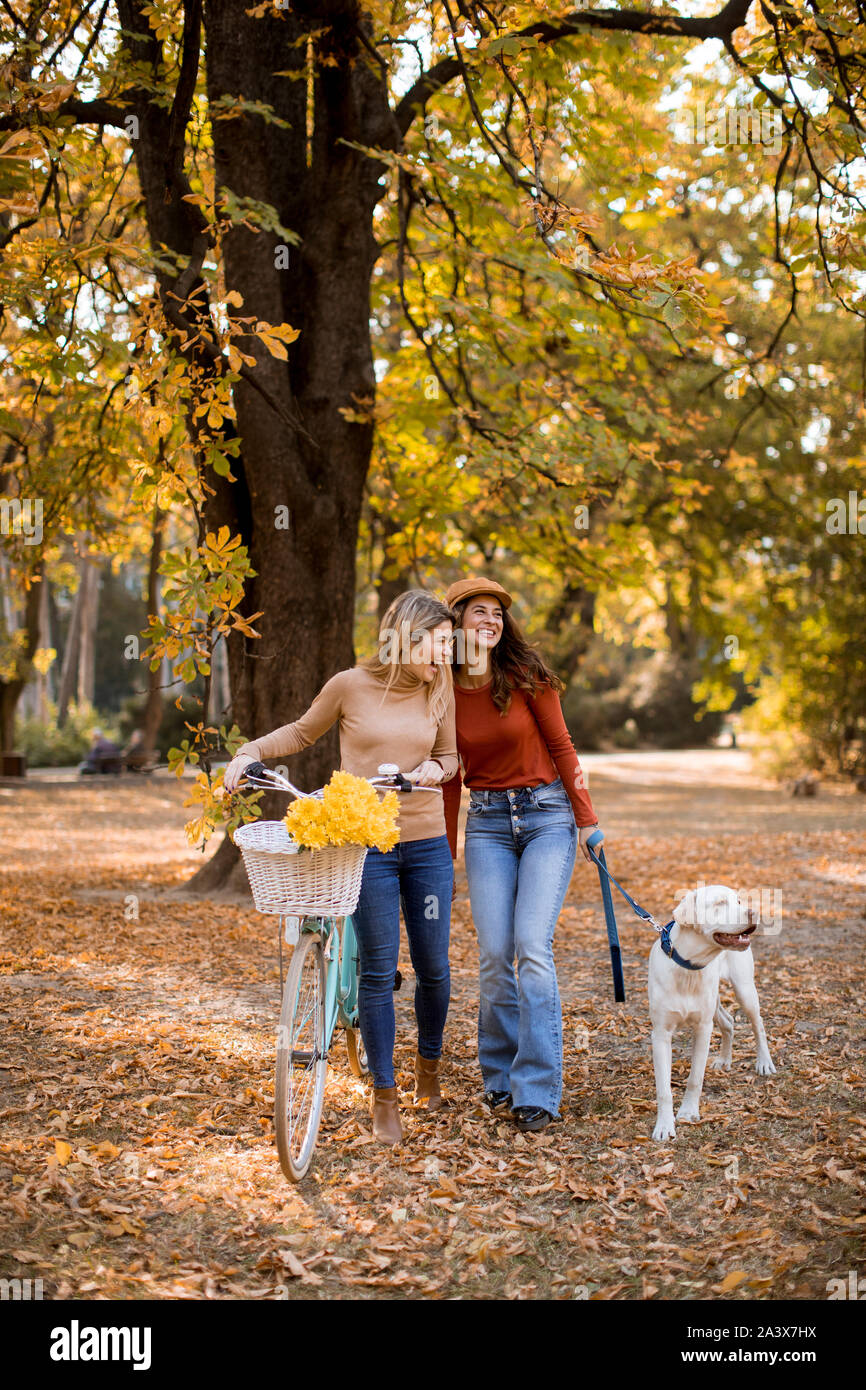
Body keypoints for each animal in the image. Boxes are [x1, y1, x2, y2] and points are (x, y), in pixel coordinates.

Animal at [650, 889, 778, 1139]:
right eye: (720, 903)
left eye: (739, 901)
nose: (753, 912)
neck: (689, 967)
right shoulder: (661, 1034)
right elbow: (663, 1089)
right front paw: (664, 1126)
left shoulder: (703, 1028)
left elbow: (695, 1078)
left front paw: (688, 1112)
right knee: (728, 1022)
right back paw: (724, 1060)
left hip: (744, 990)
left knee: (758, 1025)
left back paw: (764, 1062)